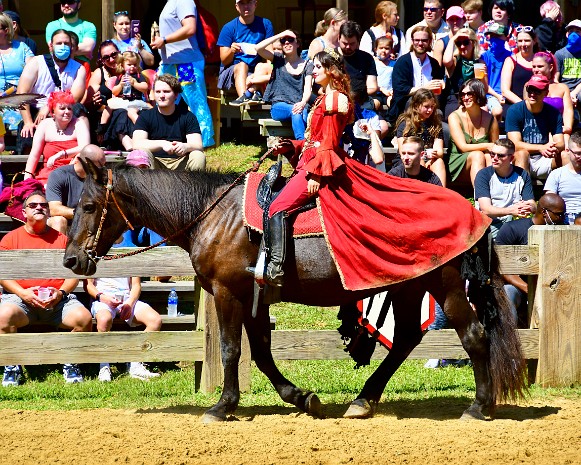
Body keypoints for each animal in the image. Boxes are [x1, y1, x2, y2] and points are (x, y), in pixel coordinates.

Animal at [62, 161, 524, 422]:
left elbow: (231, 350)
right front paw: (302, 398)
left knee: (474, 337)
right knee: (408, 337)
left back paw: (479, 406)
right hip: (410, 286)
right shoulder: (253, 299)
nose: (71, 260)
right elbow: (263, 355)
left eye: (89, 206)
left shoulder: (229, 294)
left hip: (444, 286)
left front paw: (222, 406)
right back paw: (363, 400)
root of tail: (473, 213)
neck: (213, 214)